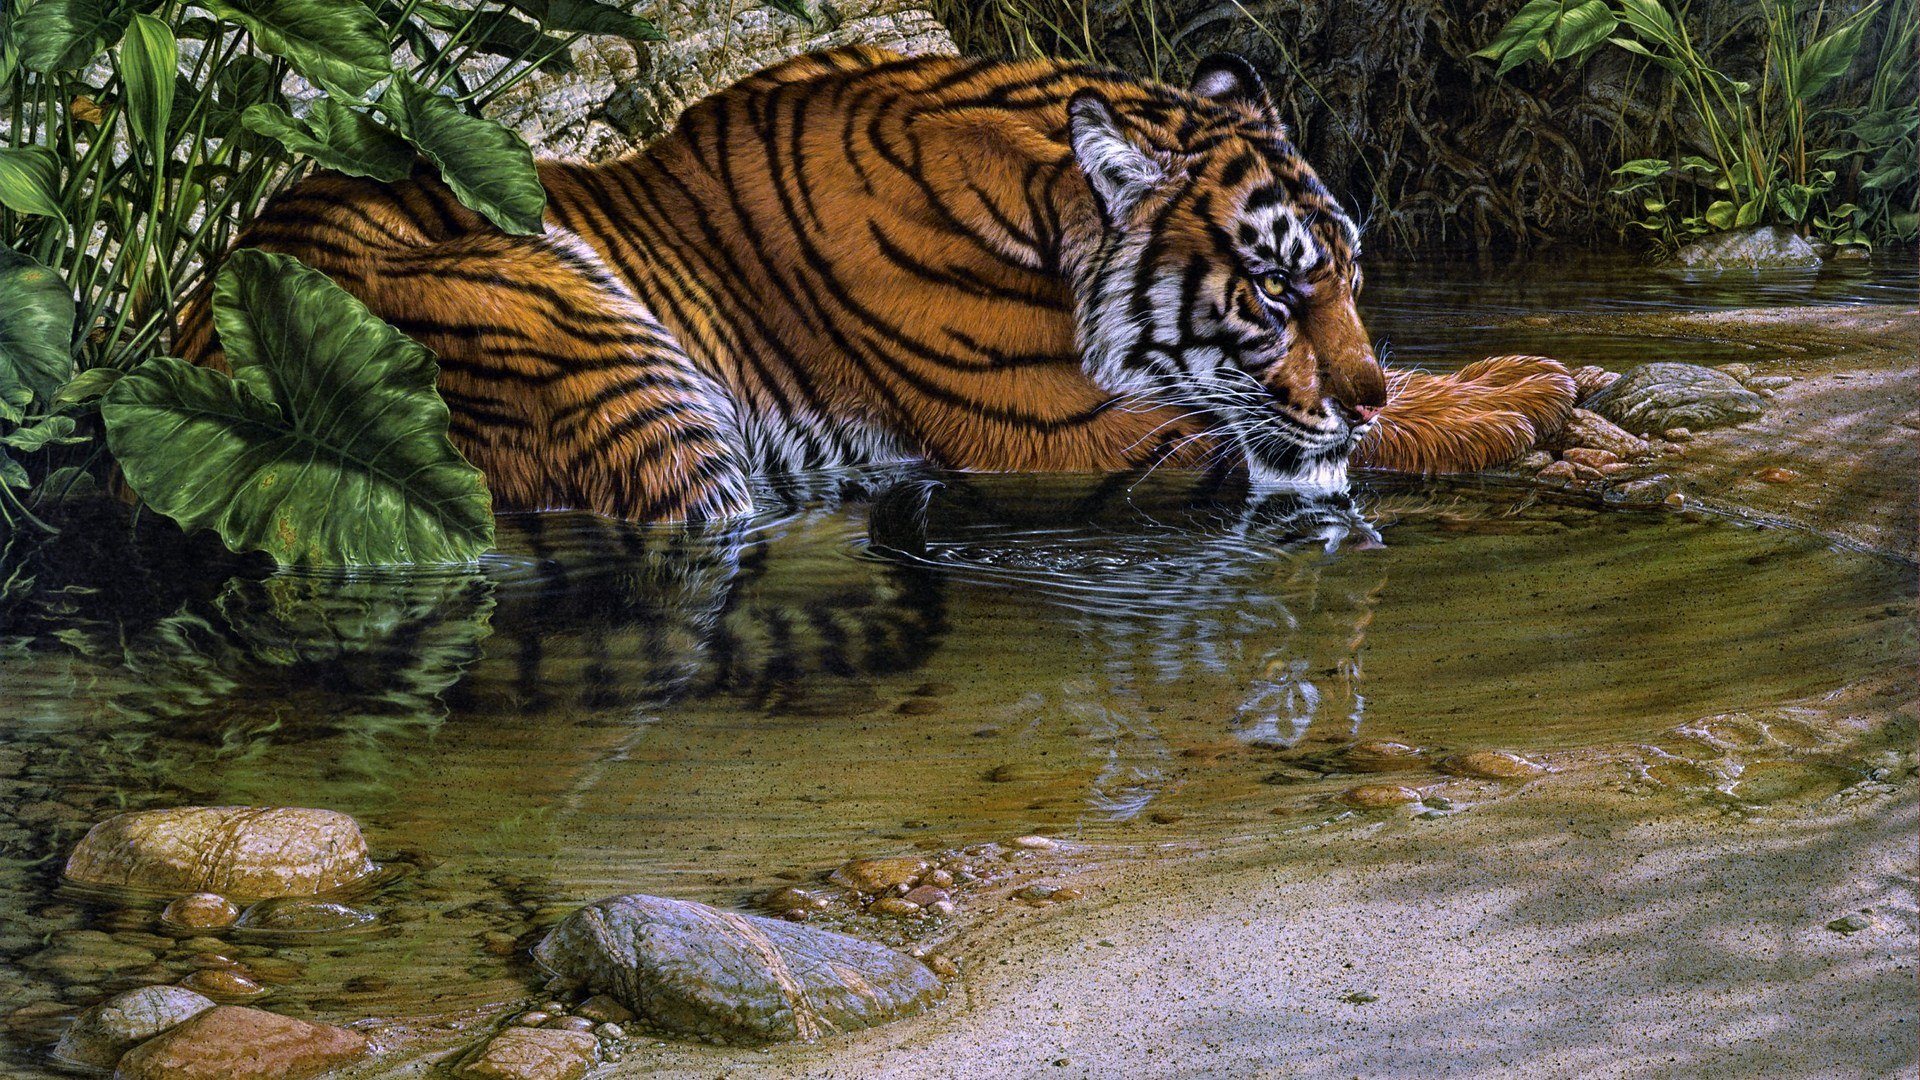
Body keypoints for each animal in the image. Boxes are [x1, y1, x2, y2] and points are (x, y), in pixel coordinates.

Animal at [176, 44, 1574, 522]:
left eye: (1353, 281)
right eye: (1279, 295)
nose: (1365, 387)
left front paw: (1529, 370)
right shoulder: (1073, 437)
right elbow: (1314, 440)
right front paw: (1518, 400)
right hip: (593, 349)